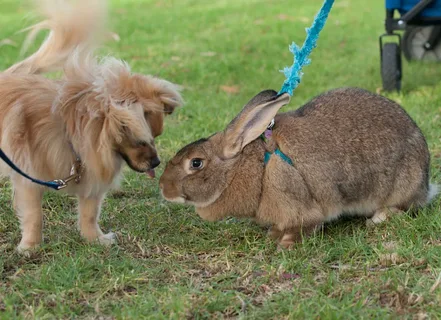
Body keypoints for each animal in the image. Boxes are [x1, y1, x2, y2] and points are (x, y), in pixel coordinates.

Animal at [0, 0, 182, 252]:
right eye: (140, 141)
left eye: (156, 137)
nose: (156, 162)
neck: (70, 131)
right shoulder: (28, 178)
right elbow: (34, 216)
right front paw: (30, 247)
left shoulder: (90, 177)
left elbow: (89, 213)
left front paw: (94, 239)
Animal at [159, 87, 436, 248]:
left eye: (196, 163)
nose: (163, 188)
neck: (257, 167)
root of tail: (425, 182)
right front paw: (273, 234)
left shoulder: (296, 201)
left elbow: (307, 225)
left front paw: (286, 243)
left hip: (401, 185)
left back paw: (379, 217)